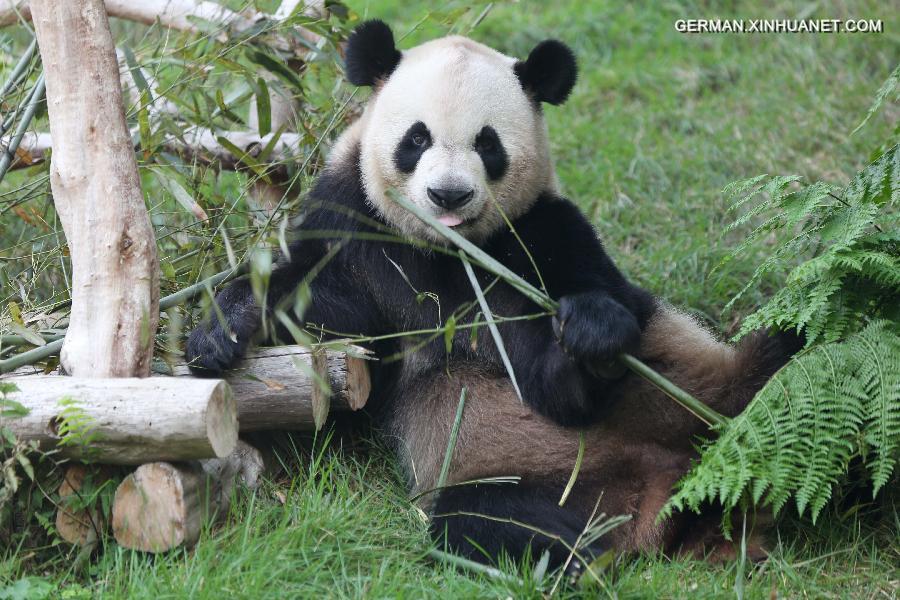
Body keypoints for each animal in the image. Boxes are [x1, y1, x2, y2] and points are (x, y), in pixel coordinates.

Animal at [186, 21, 800, 568]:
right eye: (417, 138)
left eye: (488, 143)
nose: (449, 194)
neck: (446, 251)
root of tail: (669, 494)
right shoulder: (353, 227)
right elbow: (330, 324)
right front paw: (221, 331)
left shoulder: (539, 233)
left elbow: (568, 356)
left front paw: (593, 334)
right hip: (535, 478)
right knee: (491, 522)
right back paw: (577, 557)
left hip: (709, 381)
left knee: (793, 364)